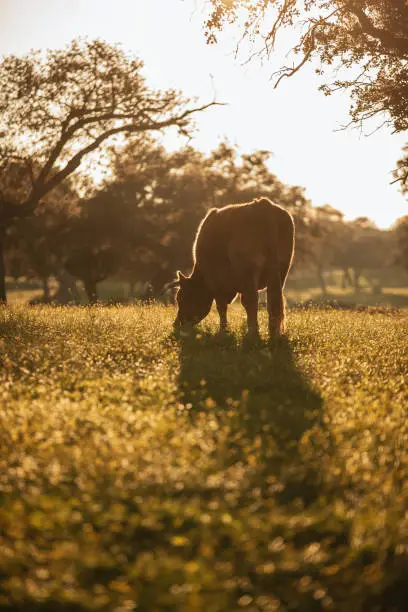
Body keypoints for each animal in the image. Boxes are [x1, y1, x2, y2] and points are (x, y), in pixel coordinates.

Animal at [171, 198, 294, 338]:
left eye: (181, 298)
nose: (175, 324)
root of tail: (263, 204)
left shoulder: (216, 281)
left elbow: (221, 306)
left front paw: (223, 332)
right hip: (281, 270)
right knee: (273, 300)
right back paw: (274, 334)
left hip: (248, 271)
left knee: (251, 301)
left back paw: (252, 333)